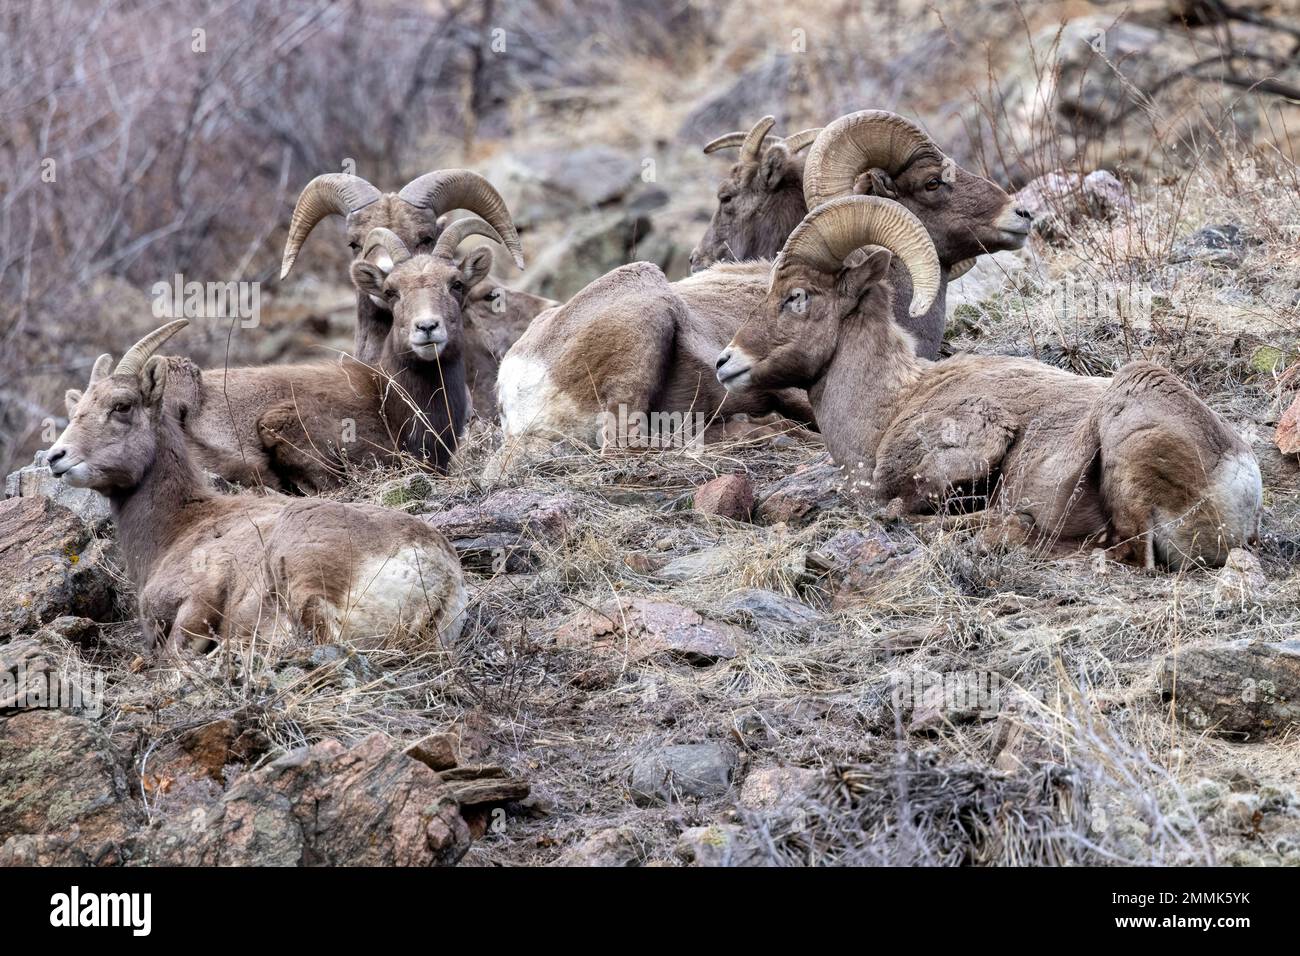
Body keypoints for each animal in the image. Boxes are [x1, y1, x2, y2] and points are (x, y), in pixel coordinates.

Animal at [45, 321, 466, 652]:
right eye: (77, 409)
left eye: (122, 406)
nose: (56, 457)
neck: (178, 528)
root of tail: (435, 573)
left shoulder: (201, 599)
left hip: (300, 573)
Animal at [714, 195, 1262, 569]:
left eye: (797, 296)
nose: (725, 362)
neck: (888, 409)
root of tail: (1236, 478)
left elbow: (893, 510)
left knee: (1119, 552)